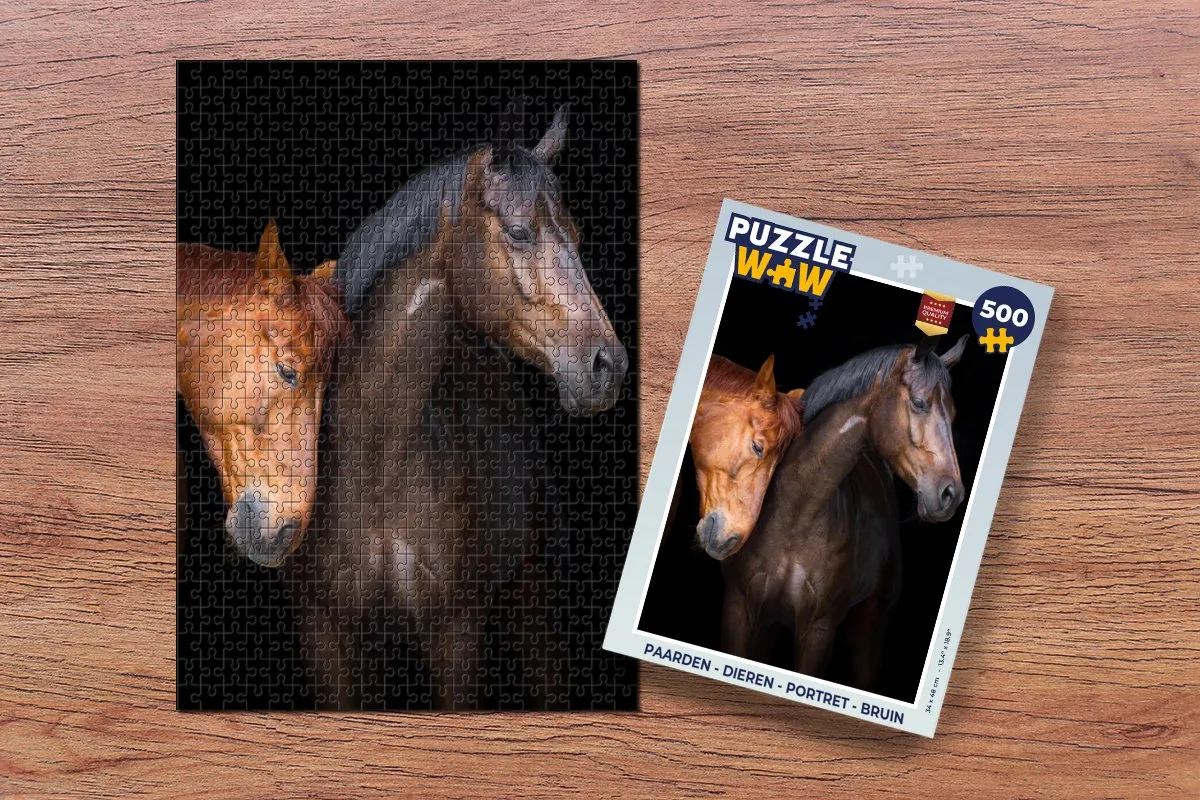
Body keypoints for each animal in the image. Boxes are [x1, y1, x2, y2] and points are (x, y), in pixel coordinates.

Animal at [292, 104, 630, 709]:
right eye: (519, 232)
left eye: (576, 236)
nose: (606, 366)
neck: (377, 458)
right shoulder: (326, 634)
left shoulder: (455, 634)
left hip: (533, 608)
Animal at [721, 336, 967, 691]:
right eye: (920, 403)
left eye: (953, 412)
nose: (951, 494)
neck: (795, 513)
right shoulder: (739, 609)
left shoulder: (818, 631)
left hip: (869, 630)